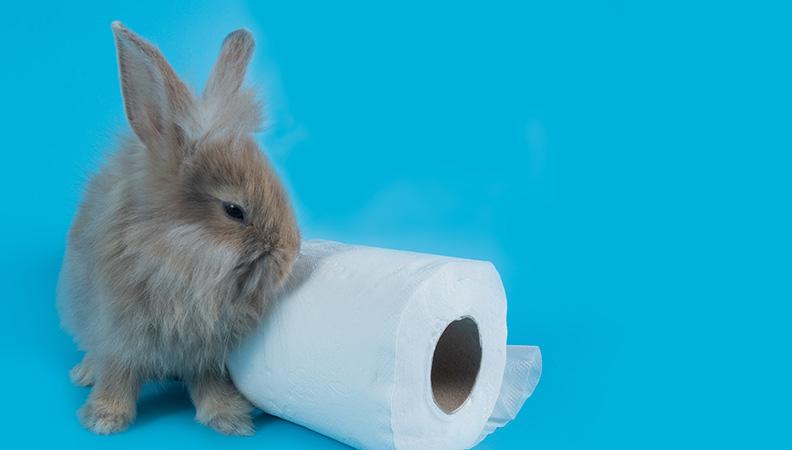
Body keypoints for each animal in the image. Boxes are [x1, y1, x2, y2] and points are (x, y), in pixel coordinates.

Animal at [56, 21, 300, 436]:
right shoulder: (120, 335)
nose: (291, 255)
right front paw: (104, 419)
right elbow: (117, 374)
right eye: (234, 210)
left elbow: (207, 382)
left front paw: (228, 418)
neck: (176, 256)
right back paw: (84, 373)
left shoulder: (205, 353)